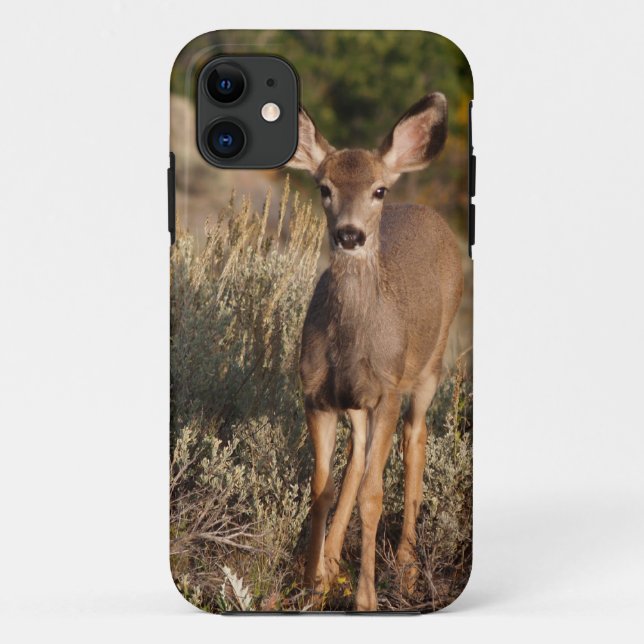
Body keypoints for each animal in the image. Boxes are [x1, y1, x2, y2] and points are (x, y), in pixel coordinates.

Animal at [287, 92, 463, 611]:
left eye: (378, 190)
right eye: (324, 187)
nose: (350, 234)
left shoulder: (387, 389)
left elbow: (372, 494)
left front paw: (364, 599)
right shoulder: (316, 394)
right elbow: (321, 488)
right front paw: (311, 584)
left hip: (428, 366)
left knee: (415, 439)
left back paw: (405, 569)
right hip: (359, 402)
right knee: (360, 455)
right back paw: (331, 564)